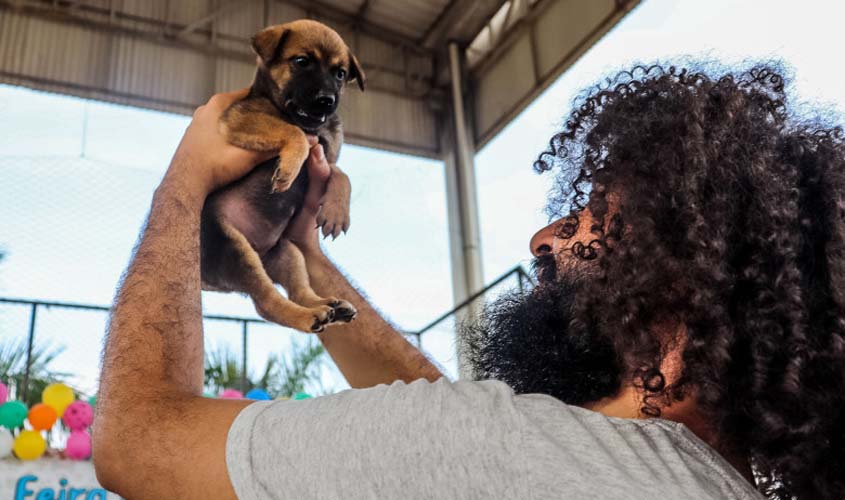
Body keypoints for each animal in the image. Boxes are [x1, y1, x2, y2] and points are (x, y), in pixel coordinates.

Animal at [202, 20, 366, 332]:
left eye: (340, 74)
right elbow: (294, 133)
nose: (327, 101)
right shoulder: (239, 119)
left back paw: (330, 306)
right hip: (234, 248)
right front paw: (289, 168)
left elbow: (342, 174)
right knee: (267, 304)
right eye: (301, 62)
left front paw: (337, 211)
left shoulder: (326, 158)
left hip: (288, 254)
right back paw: (308, 316)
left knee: (298, 292)